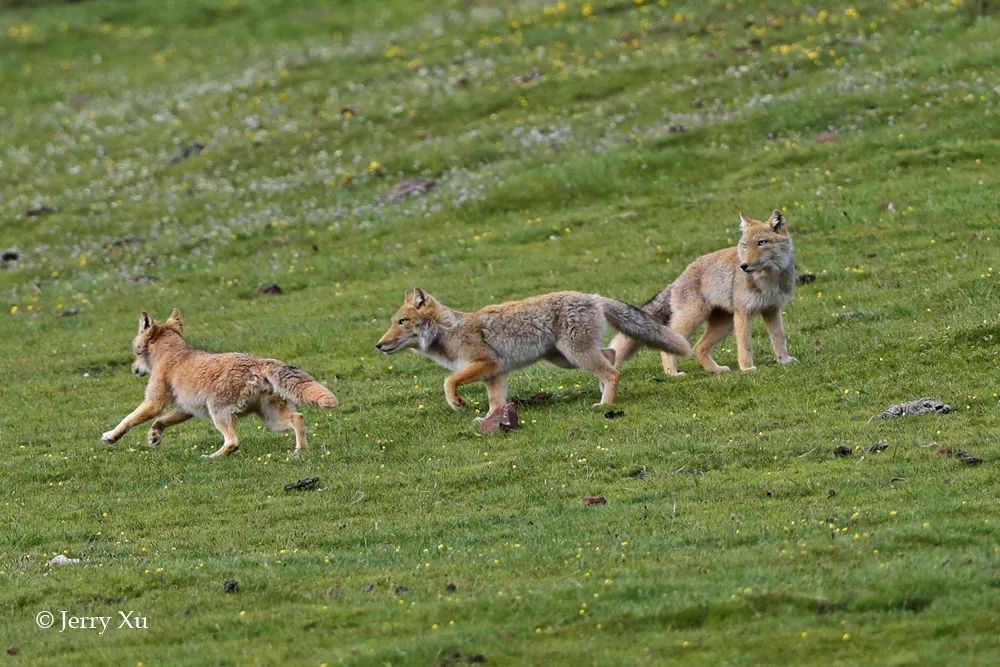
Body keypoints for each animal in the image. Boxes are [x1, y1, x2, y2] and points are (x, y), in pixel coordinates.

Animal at [101, 310, 338, 460]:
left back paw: (211, 457)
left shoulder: (153, 403)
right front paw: (154, 436)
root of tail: (259, 363)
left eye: (135, 351)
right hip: (272, 420)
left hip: (219, 413)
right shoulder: (184, 410)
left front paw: (111, 436)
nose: (133, 369)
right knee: (298, 418)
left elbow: (128, 420)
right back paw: (299, 451)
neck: (171, 353)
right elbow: (160, 422)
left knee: (233, 442)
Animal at [372, 288, 692, 418]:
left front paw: (457, 403)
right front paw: (491, 420)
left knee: (612, 370)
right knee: (612, 354)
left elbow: (448, 381)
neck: (450, 330)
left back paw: (604, 404)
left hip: (575, 355)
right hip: (565, 358)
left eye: (401, 322)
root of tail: (593, 297)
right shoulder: (495, 375)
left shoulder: (486, 363)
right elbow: (495, 403)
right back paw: (604, 394)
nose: (378, 345)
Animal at [608, 209, 796, 376]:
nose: (744, 266)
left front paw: (784, 361)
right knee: (671, 345)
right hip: (696, 318)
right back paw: (672, 373)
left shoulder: (772, 309)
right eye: (744, 246)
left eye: (761, 243)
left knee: (698, 348)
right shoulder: (744, 313)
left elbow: (779, 339)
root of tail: (676, 280)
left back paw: (715, 370)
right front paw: (747, 368)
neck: (768, 280)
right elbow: (745, 346)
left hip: (724, 324)